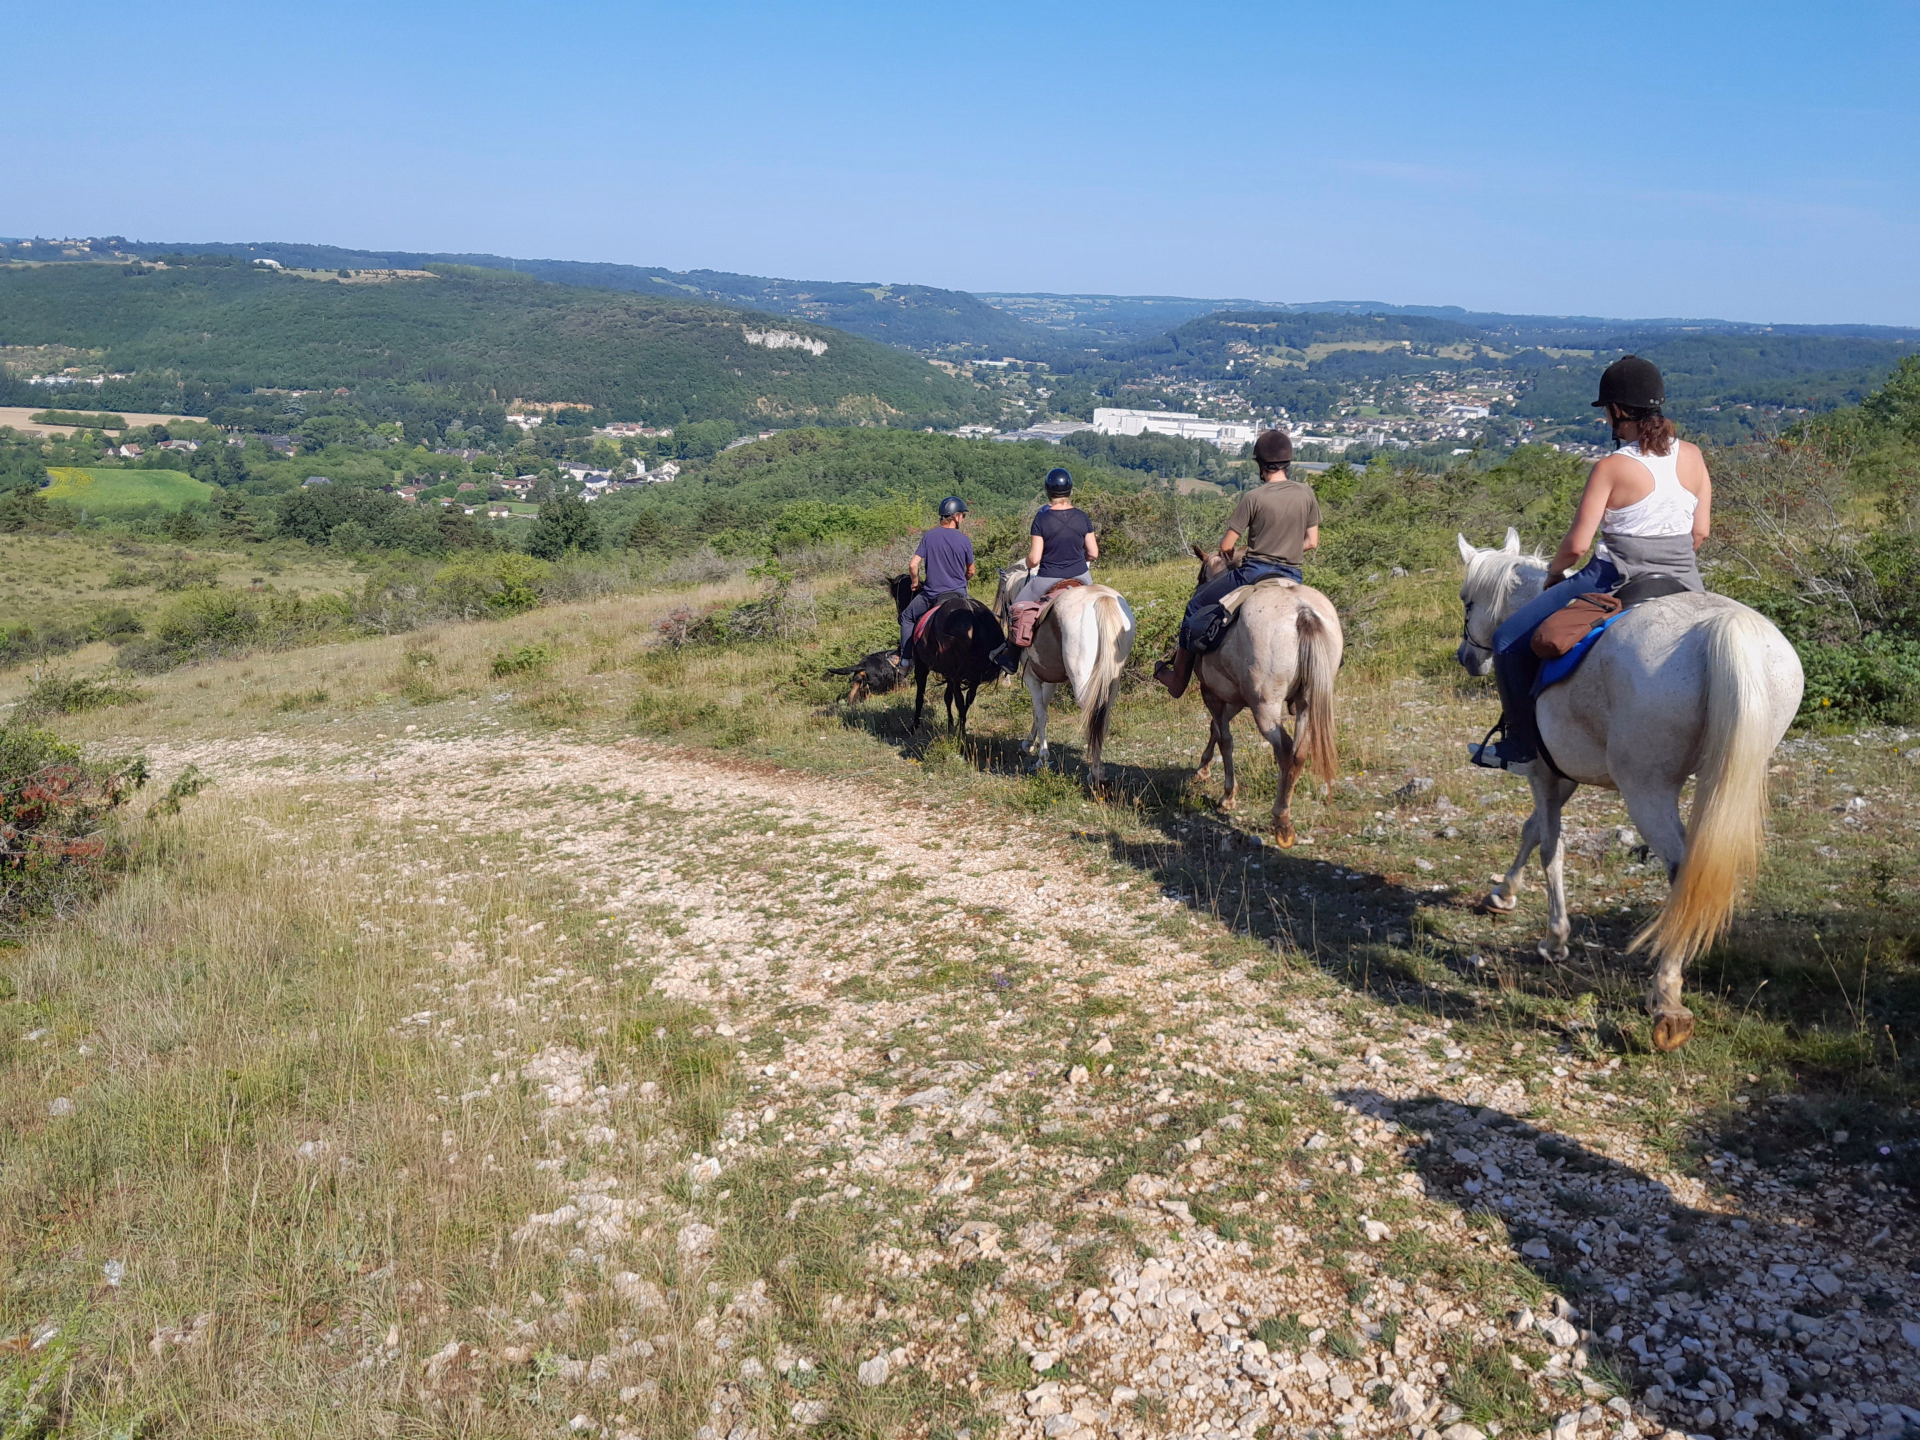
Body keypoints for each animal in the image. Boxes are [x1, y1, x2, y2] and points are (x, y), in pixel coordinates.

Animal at [883, 573, 1005, 735]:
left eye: (896, 596)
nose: (899, 616)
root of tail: (972, 614)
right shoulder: (950, 672)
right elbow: (948, 697)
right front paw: (950, 724)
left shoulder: (922, 666)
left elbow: (920, 696)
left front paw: (914, 726)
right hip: (973, 673)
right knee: (969, 698)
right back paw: (961, 727)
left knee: (960, 700)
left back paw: (961, 735)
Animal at [992, 560, 1136, 788]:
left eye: (1004, 593)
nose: (1000, 616)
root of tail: (1101, 599)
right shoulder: (1052, 680)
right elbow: (1041, 708)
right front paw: (1029, 742)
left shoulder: (1032, 678)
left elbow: (1040, 713)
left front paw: (1042, 758)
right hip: (1112, 679)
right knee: (1103, 717)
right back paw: (1098, 771)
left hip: (1083, 680)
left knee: (1092, 714)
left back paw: (1094, 773)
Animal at [1185, 546, 1343, 846]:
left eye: (1200, 576)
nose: (1198, 588)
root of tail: (1303, 612)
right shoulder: (1236, 698)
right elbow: (1215, 729)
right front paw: (1202, 770)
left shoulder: (1212, 693)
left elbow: (1224, 738)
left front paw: (1227, 795)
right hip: (1305, 703)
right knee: (1299, 752)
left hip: (1265, 707)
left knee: (1284, 751)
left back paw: (1281, 819)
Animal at [1455, 528, 1804, 1051]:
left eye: (1466, 600)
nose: (1467, 656)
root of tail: (1724, 626)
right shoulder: (1562, 774)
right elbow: (1532, 831)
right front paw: (1503, 894)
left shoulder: (1544, 772)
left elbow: (1549, 845)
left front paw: (1555, 937)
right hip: (1725, 774)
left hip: (1647, 790)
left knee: (1681, 869)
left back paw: (1666, 999)